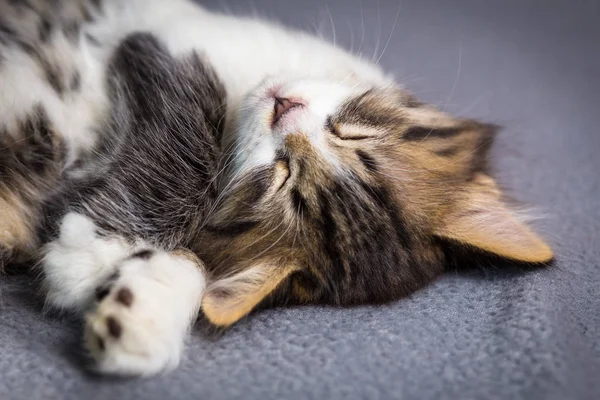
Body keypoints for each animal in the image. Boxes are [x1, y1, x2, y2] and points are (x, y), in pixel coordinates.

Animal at [0, 0, 552, 376]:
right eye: (354, 134)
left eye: (278, 180)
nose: (284, 108)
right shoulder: (173, 40)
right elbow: (196, 127)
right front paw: (96, 250)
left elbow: (195, 263)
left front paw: (140, 306)